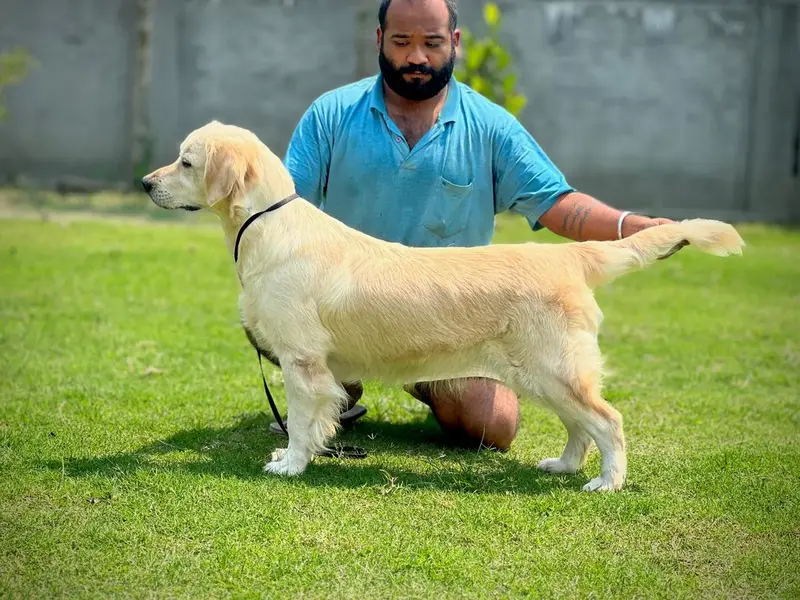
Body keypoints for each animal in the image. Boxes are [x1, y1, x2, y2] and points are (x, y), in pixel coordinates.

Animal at [142, 122, 744, 492]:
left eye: (185, 161)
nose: (146, 183)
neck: (265, 225)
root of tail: (567, 256)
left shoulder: (301, 361)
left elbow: (299, 420)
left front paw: (291, 463)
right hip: (542, 375)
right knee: (580, 426)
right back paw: (564, 465)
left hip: (555, 369)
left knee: (609, 421)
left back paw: (606, 481)